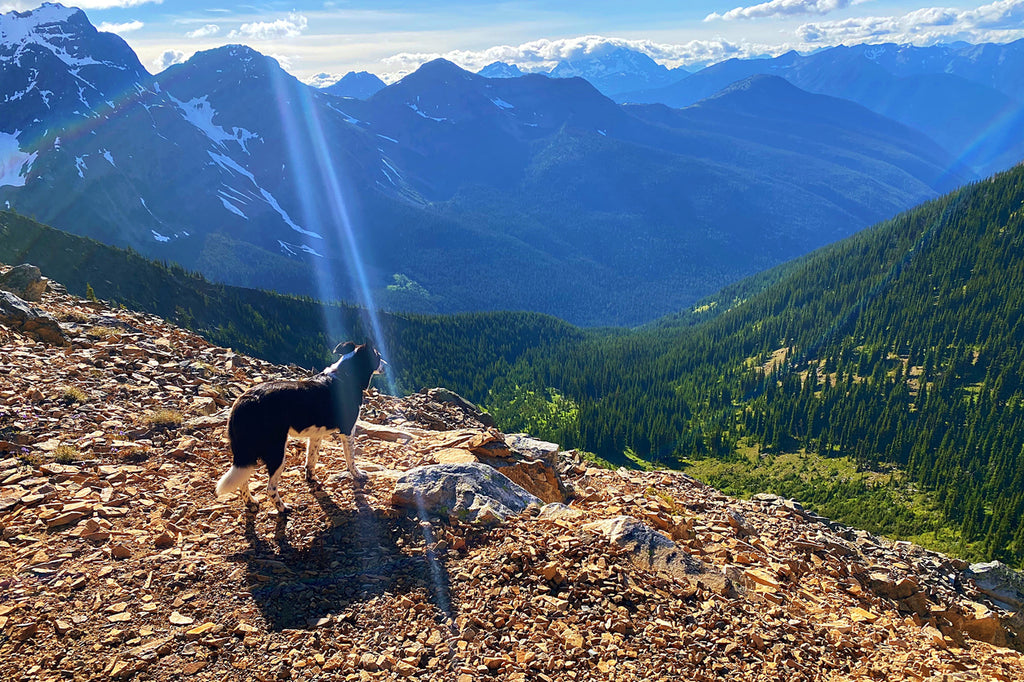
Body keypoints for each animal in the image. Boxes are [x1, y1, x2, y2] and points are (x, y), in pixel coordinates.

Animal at [214, 339, 385, 509]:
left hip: (246, 451)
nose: (386, 364)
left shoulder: (316, 435)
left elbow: (311, 460)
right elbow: (351, 458)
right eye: (378, 355)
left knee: (242, 480)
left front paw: (311, 479)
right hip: (276, 450)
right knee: (270, 487)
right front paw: (358, 474)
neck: (346, 375)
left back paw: (250, 501)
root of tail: (245, 401)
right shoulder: (348, 430)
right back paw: (282, 508)